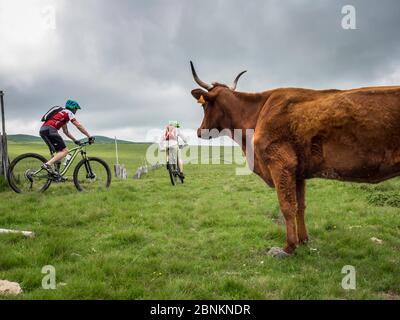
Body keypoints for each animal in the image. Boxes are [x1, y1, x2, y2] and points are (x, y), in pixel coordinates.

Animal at [190, 62, 400, 258]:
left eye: (204, 105)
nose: (199, 131)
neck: (256, 115)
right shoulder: (298, 172)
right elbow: (300, 206)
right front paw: (303, 240)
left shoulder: (281, 164)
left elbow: (287, 206)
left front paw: (289, 247)